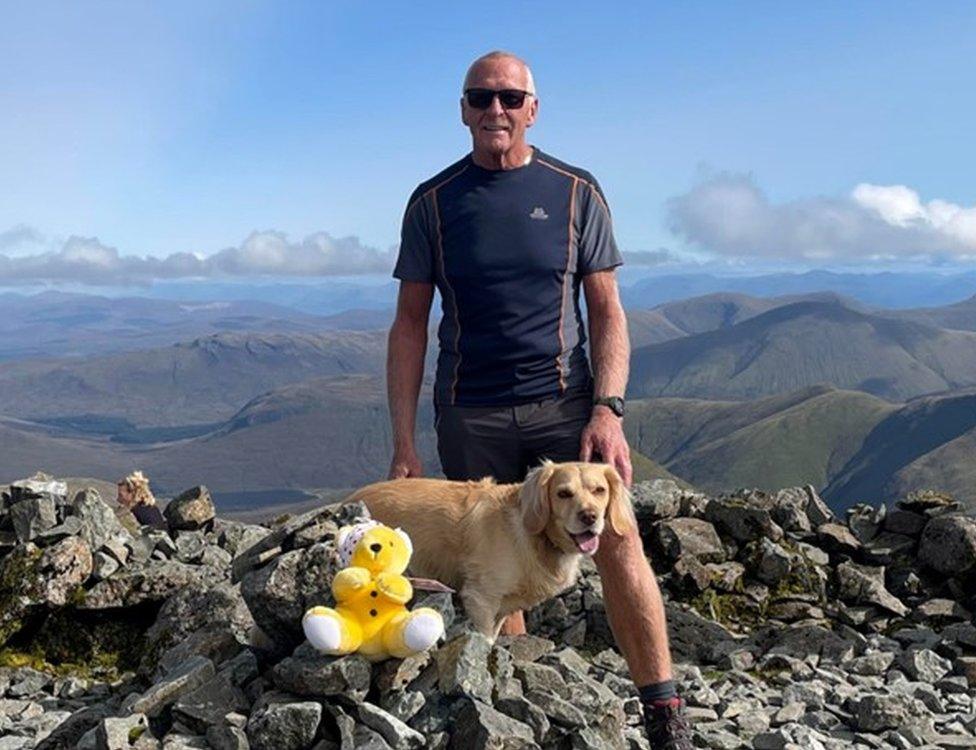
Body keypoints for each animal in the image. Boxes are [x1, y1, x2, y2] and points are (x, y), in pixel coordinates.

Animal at [346, 464, 636, 640]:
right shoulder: (480, 598)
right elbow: (484, 640)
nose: (589, 517)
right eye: (563, 493)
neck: (533, 538)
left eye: (599, 490)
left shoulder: (502, 606)